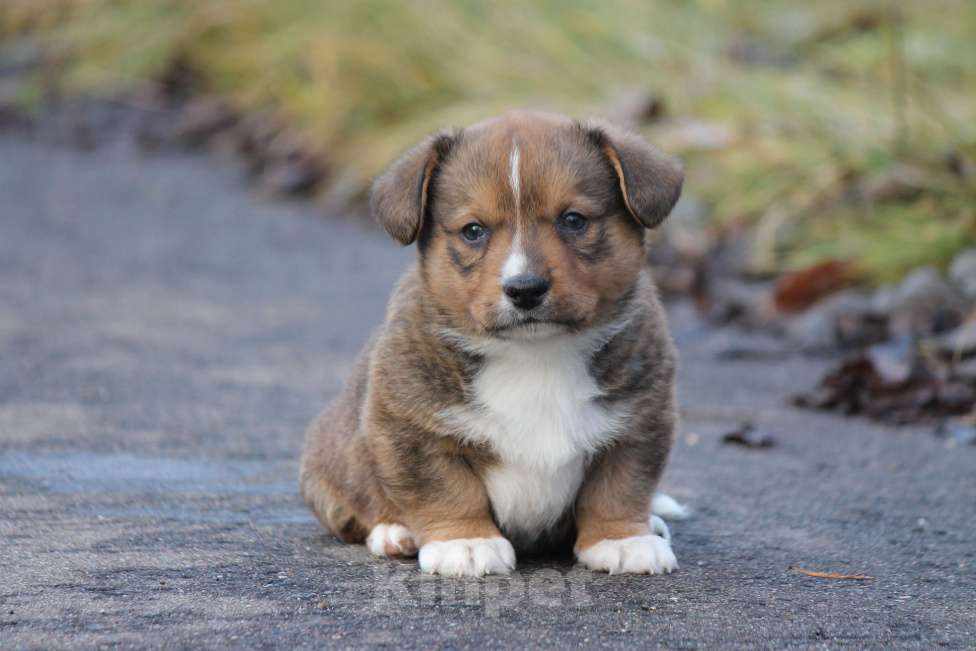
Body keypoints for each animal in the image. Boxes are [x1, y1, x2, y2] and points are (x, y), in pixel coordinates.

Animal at [302, 109, 692, 580]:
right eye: (473, 231)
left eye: (574, 220)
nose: (525, 289)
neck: (535, 355)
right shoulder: (410, 427)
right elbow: (445, 487)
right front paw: (466, 542)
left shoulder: (639, 421)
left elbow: (620, 485)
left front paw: (622, 539)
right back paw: (395, 533)